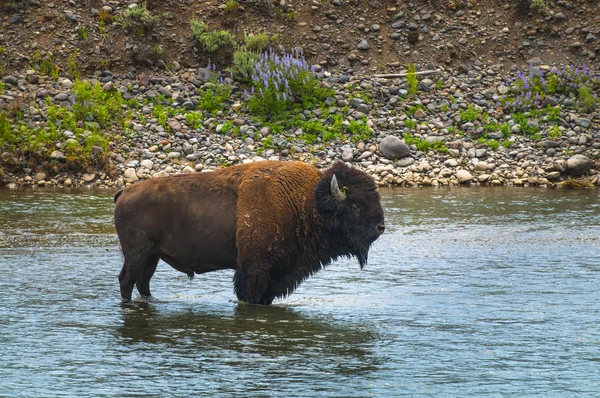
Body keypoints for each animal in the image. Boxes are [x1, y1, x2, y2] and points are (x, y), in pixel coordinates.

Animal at [113, 160, 384, 304]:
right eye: (356, 205)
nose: (381, 227)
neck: (306, 202)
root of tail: (125, 191)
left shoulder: (275, 275)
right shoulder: (255, 269)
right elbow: (248, 296)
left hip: (152, 257)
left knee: (142, 283)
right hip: (137, 254)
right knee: (127, 281)